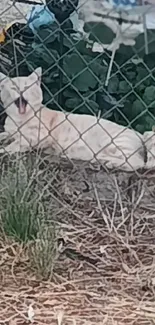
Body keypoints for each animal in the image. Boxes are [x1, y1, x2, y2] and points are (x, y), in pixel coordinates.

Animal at [0, 67, 153, 171]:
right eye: (13, 87)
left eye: (27, 86)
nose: (21, 91)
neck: (18, 119)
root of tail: (139, 134)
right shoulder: (10, 132)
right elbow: (5, 134)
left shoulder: (39, 136)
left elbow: (16, 143)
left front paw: (4, 148)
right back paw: (98, 160)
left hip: (113, 143)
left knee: (138, 162)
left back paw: (108, 162)